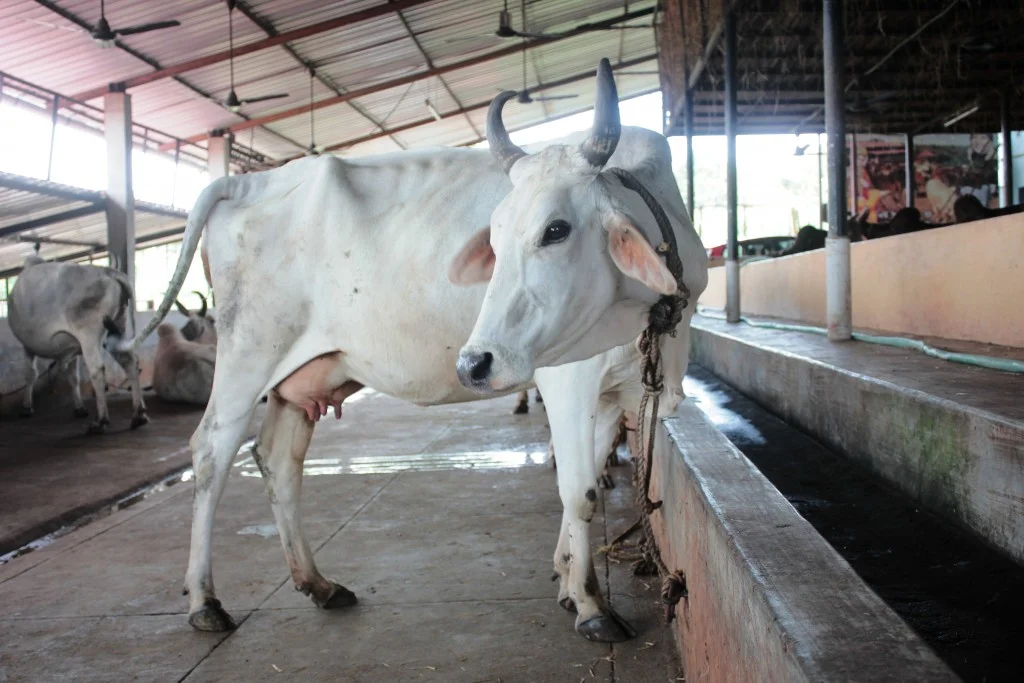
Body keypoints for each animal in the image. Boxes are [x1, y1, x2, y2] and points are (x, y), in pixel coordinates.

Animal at [7, 255, 148, 433]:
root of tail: (107, 271)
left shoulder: (27, 346)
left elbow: (30, 374)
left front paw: (26, 408)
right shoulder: (72, 347)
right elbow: (73, 377)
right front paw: (79, 408)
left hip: (88, 334)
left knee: (97, 370)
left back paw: (101, 421)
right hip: (118, 327)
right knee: (129, 362)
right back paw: (138, 415)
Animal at [119, 59, 707, 643]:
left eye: (556, 229)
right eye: (494, 239)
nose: (474, 363)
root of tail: (246, 180)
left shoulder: (615, 391)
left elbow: (585, 482)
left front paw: (565, 579)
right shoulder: (570, 379)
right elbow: (579, 490)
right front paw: (590, 603)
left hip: (299, 374)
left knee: (278, 458)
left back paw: (319, 584)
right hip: (249, 352)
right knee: (212, 452)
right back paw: (204, 599)